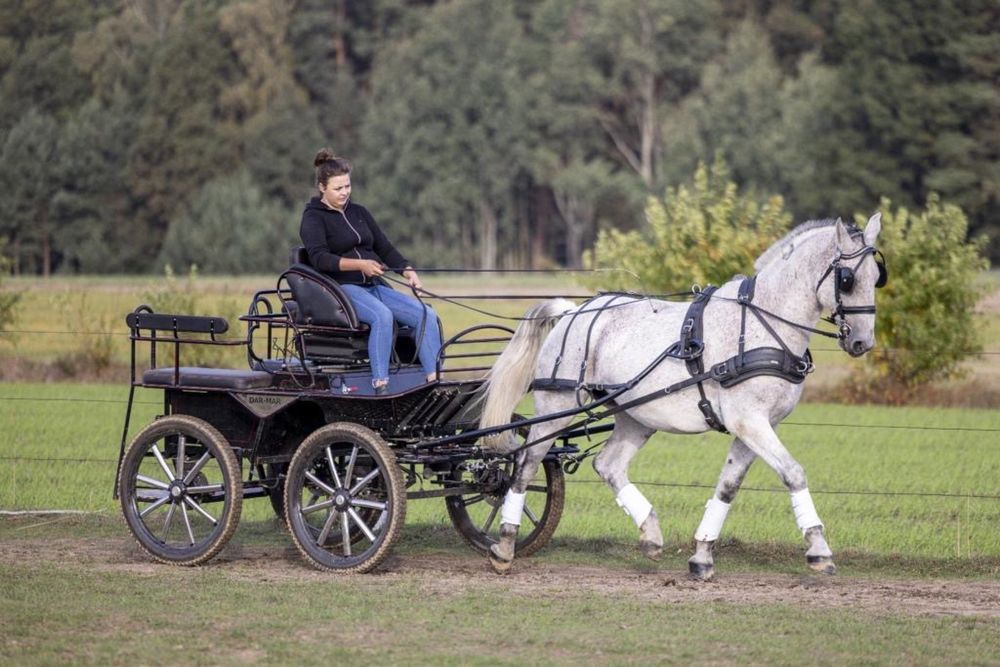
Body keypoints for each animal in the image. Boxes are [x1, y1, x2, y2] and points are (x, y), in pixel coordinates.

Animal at [476, 215, 884, 580]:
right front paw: (818, 550)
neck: (763, 324)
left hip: (636, 416)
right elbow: (794, 473)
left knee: (608, 465)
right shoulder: (750, 421)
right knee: (526, 464)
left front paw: (702, 556)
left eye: (877, 277)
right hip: (556, 406)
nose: (862, 342)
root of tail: (573, 310)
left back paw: (651, 533)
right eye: (847, 280)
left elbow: (728, 487)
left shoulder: (755, 426)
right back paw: (505, 545)